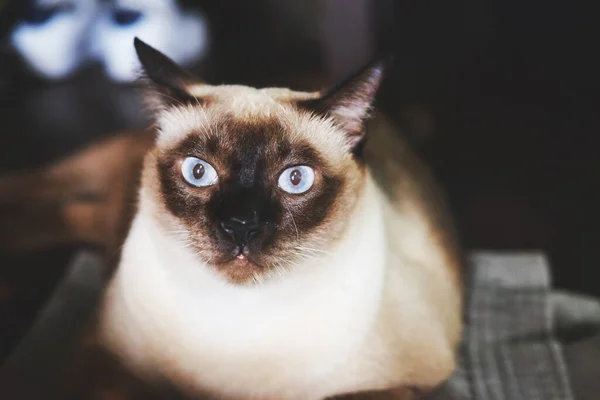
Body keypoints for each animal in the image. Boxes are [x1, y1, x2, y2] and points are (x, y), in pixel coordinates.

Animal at [0, 38, 464, 400]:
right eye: (198, 172)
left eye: (296, 179)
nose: (241, 226)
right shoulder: (99, 358)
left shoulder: (409, 384)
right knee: (43, 185)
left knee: (72, 213)